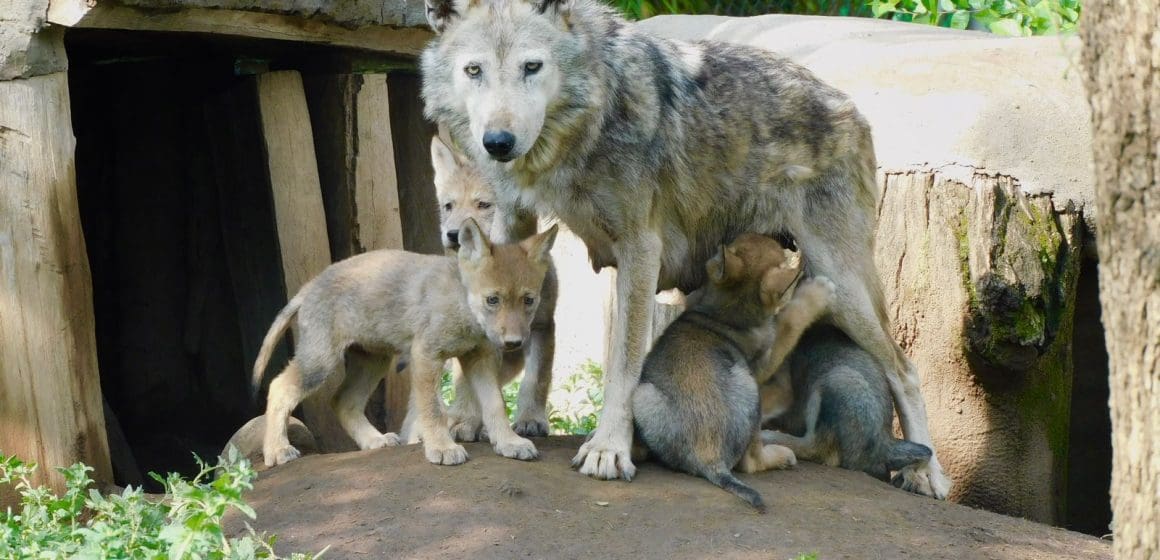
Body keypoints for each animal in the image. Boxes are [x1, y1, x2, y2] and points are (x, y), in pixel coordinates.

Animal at [252, 218, 558, 467]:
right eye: (492, 300)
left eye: (528, 300)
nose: (514, 342)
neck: (461, 305)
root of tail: (308, 286)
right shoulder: (426, 355)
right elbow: (432, 410)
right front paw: (442, 447)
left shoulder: (479, 358)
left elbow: (495, 404)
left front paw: (508, 442)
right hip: (321, 362)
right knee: (279, 387)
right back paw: (277, 450)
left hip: (372, 362)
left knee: (342, 401)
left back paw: (374, 441)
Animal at [633, 233, 832, 512]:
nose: (784, 241)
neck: (724, 313)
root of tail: (709, 457)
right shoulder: (763, 364)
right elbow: (789, 322)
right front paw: (818, 293)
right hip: (749, 388)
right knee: (751, 462)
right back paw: (782, 455)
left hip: (643, 394)